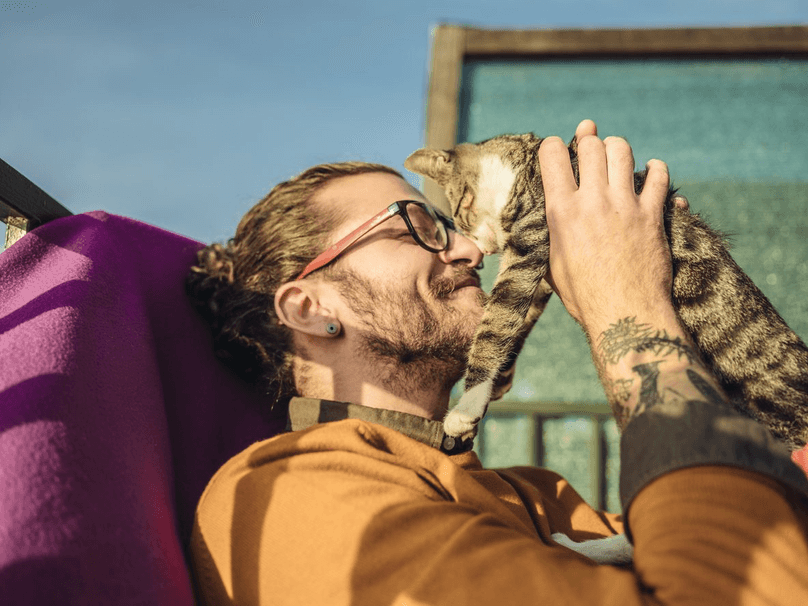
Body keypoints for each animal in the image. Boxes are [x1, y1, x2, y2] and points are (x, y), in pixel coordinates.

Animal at [408, 134, 808, 446]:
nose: (482, 250)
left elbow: (495, 322)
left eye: (461, 217)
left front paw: (465, 408)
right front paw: (500, 378)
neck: (524, 166)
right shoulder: (539, 271)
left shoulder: (529, 245)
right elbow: (515, 321)